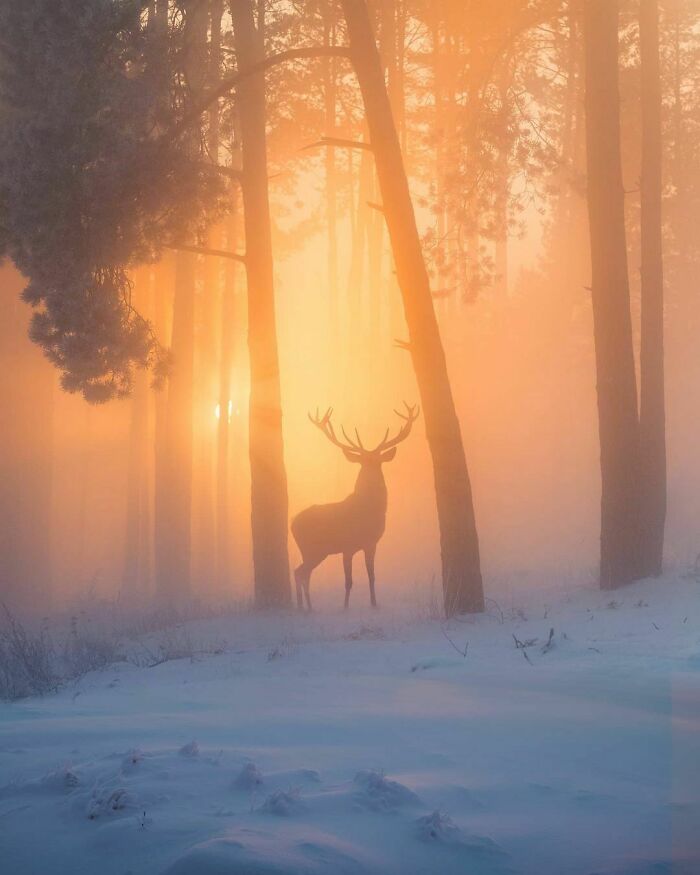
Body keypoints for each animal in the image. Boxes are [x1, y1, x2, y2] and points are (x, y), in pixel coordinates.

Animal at [291, 403, 420, 611]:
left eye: (378, 461)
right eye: (363, 462)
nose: (372, 477)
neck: (366, 512)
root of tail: (292, 523)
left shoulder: (371, 544)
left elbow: (371, 576)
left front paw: (374, 604)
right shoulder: (348, 546)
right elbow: (348, 581)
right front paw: (345, 608)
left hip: (315, 551)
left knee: (302, 572)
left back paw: (306, 607)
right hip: (313, 549)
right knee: (300, 572)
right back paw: (305, 607)